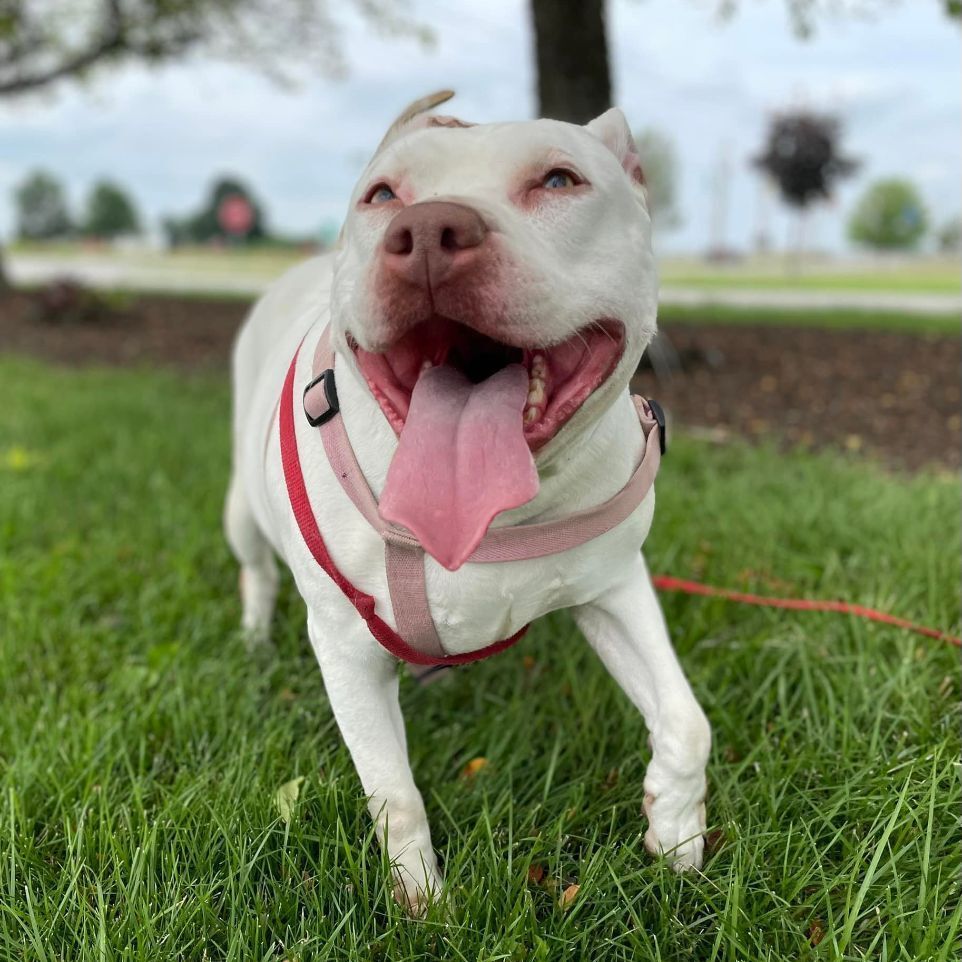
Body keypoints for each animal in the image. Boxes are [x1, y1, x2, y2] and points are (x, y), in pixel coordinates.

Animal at [223, 90, 704, 908]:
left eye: (560, 180)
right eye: (382, 195)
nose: (426, 233)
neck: (498, 517)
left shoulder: (612, 584)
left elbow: (686, 718)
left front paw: (676, 834)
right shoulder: (343, 645)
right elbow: (394, 790)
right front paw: (423, 903)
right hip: (242, 512)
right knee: (255, 569)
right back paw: (255, 641)